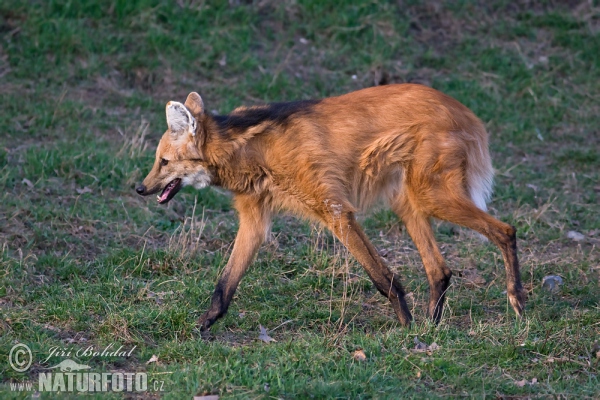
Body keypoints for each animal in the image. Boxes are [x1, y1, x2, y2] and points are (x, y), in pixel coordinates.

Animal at [137, 83, 524, 330]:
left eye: (164, 162)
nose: (139, 188)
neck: (249, 150)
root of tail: (465, 110)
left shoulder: (334, 209)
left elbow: (381, 276)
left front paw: (405, 326)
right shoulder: (255, 219)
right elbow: (225, 283)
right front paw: (203, 325)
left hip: (432, 195)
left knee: (505, 230)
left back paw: (516, 303)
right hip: (407, 198)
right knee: (439, 270)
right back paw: (433, 325)